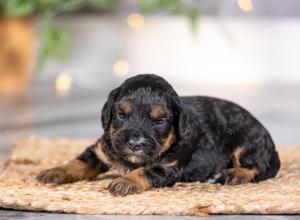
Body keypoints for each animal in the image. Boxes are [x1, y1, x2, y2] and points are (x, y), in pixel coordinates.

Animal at [36, 73, 280, 196]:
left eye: (160, 120)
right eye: (121, 114)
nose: (135, 143)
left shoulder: (169, 167)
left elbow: (145, 171)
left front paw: (125, 181)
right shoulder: (102, 149)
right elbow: (78, 162)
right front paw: (55, 171)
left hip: (247, 140)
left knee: (256, 166)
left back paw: (234, 174)